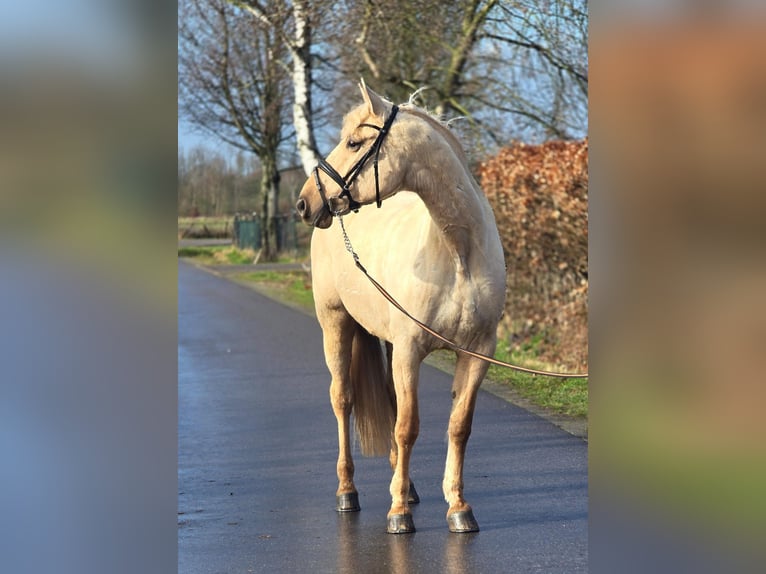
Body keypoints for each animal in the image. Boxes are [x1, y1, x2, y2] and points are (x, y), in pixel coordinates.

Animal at [295, 80, 507, 534]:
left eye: (354, 142)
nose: (305, 202)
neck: (457, 252)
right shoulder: (410, 350)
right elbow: (408, 427)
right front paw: (398, 515)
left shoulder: (477, 352)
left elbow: (458, 426)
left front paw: (458, 507)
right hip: (335, 325)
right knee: (343, 399)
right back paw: (348, 491)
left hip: (388, 342)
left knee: (391, 403)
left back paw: (404, 486)